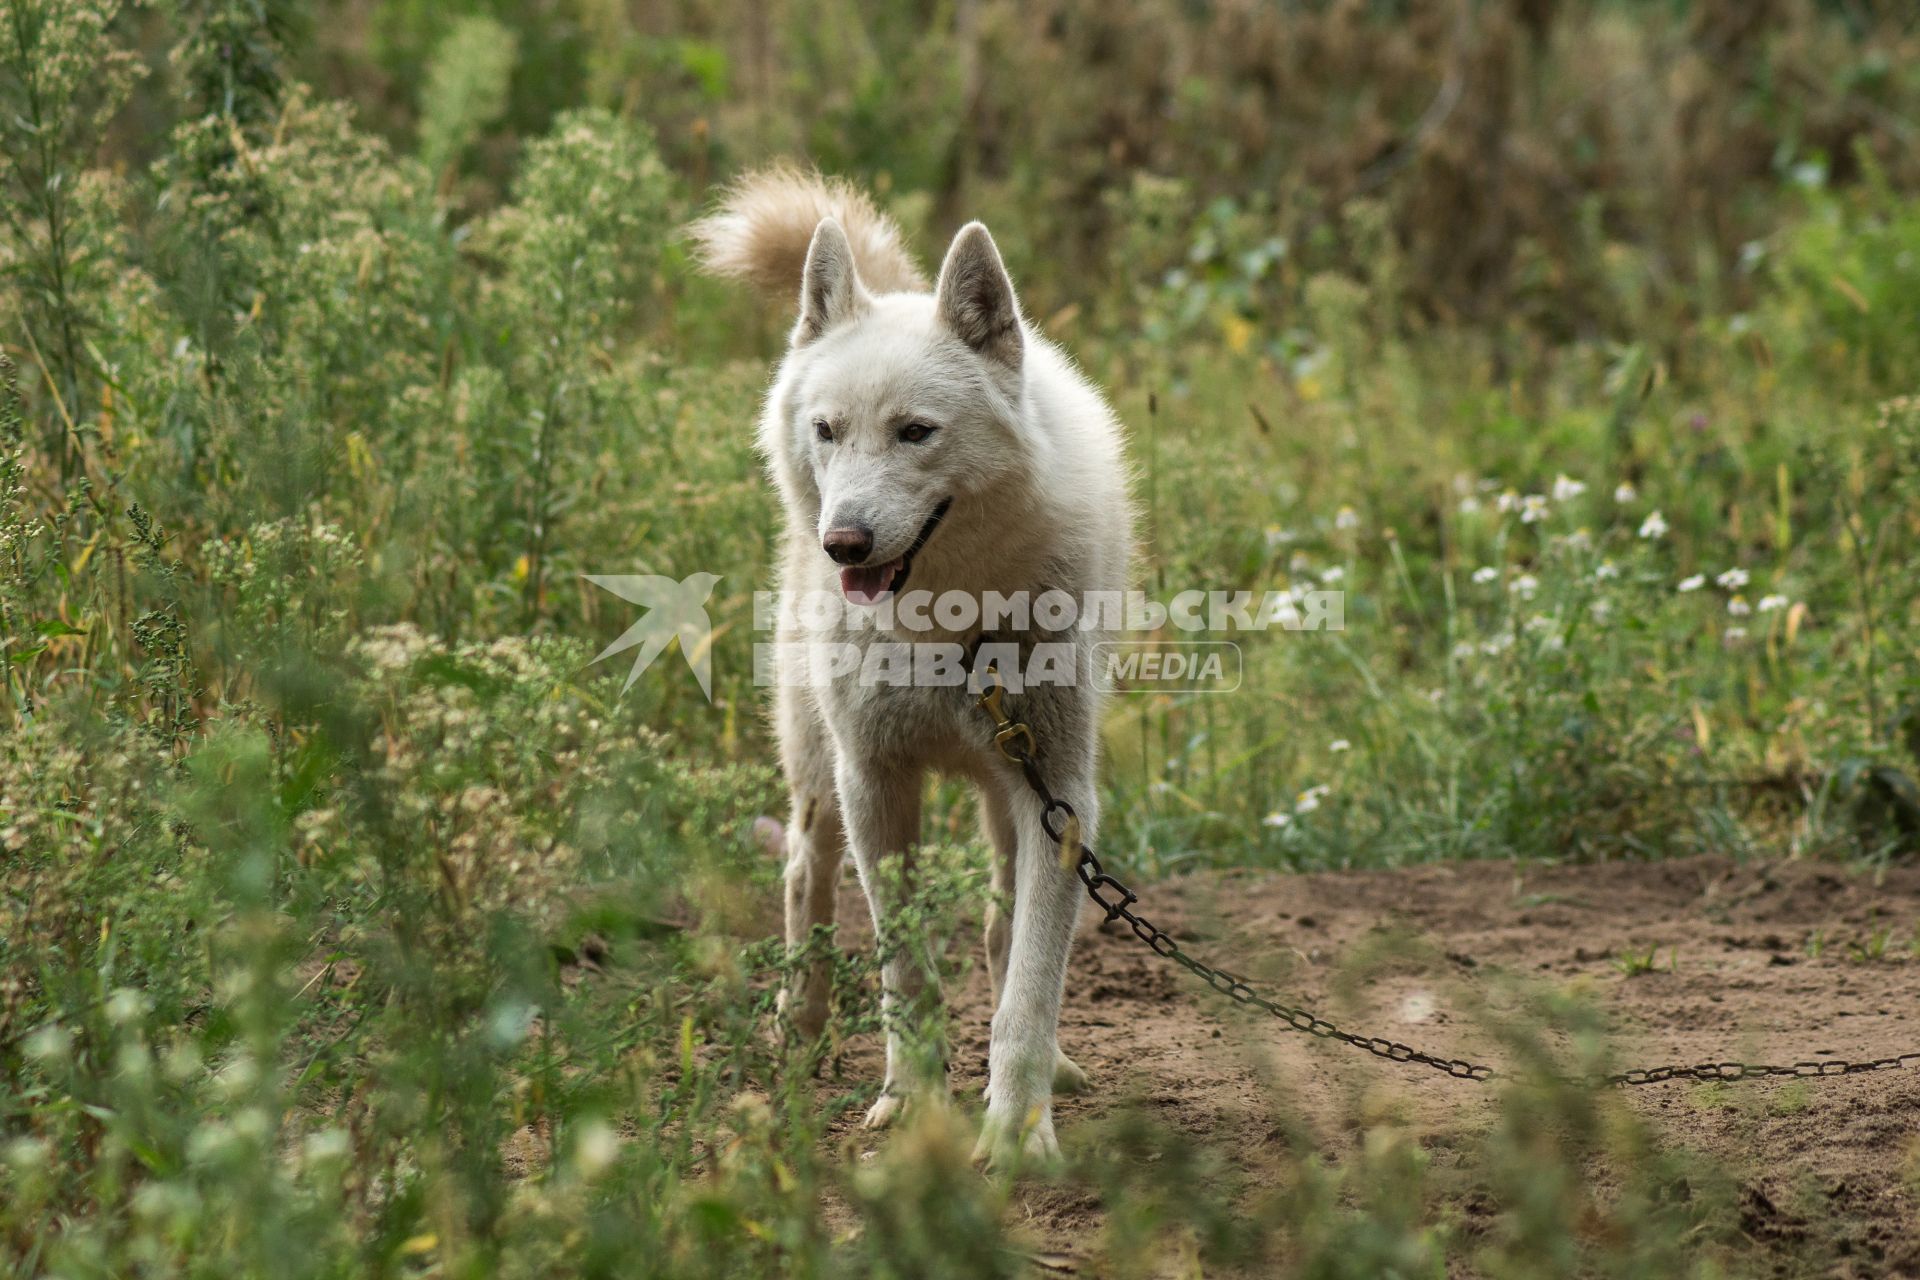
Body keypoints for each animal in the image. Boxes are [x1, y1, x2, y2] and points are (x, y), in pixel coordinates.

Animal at [698, 167, 1128, 1159]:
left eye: (915, 432)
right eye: (828, 429)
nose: (845, 544)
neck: (945, 629)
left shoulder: (1060, 797)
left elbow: (1028, 982)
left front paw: (1017, 1131)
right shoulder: (873, 782)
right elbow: (905, 966)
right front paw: (912, 1101)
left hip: (1007, 803)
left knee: (1001, 925)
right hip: (818, 775)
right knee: (802, 877)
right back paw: (799, 1028)